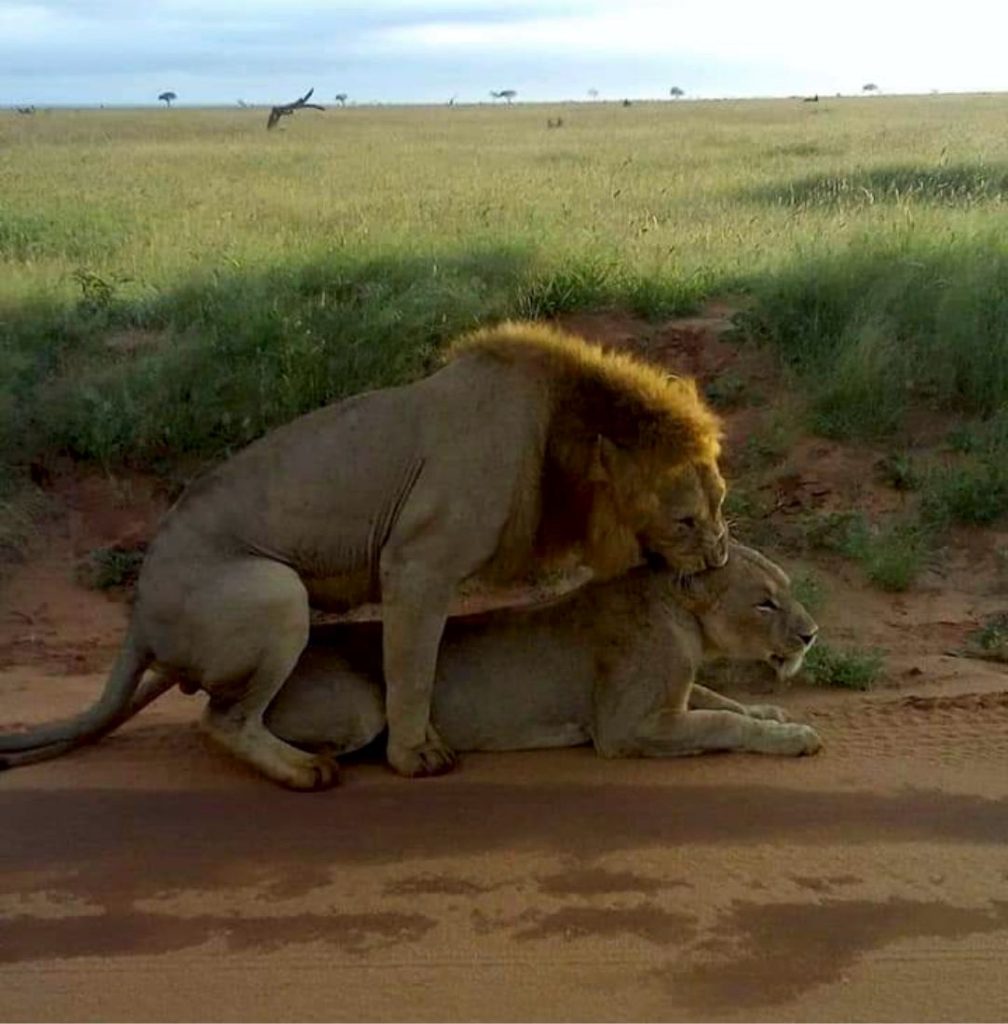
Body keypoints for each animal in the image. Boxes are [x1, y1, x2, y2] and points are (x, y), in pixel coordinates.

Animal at [0, 323, 729, 786]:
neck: (560, 436)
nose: (721, 555)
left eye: (723, 500)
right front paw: (416, 757)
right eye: (687, 520)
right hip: (275, 594)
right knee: (222, 719)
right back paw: (305, 771)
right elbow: (411, 669)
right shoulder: (417, 564)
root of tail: (138, 615)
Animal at [3, 544, 823, 770]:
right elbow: (725, 725)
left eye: (787, 591)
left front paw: (779, 711)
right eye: (766, 601)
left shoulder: (672, 699)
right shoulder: (627, 728)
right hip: (353, 704)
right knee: (219, 719)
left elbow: (726, 702)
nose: (812, 633)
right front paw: (792, 735)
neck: (684, 619)